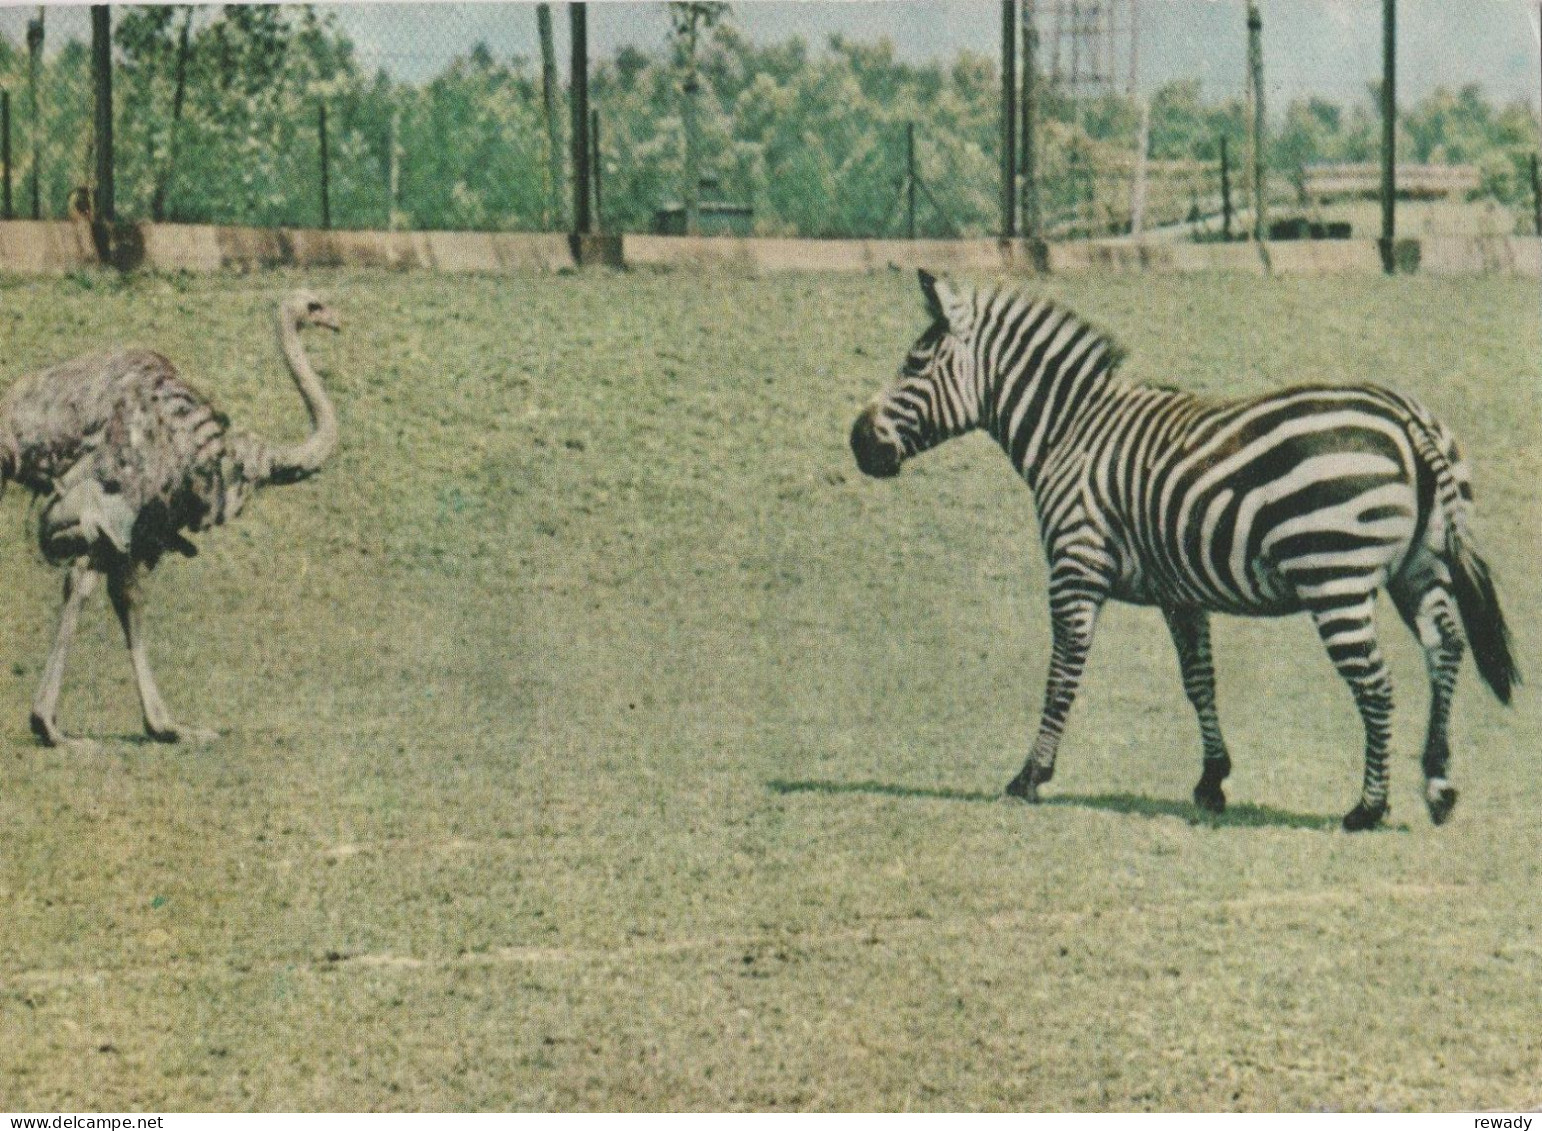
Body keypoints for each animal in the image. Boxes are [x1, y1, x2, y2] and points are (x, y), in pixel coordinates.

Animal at [857, 268, 1517, 827]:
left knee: (1377, 684)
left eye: (914, 364)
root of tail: (1406, 418)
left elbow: (1063, 672)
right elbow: (1199, 679)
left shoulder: (1076, 567)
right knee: (1445, 650)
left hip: (1336, 577)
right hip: (1419, 568)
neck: (1068, 430)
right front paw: (1212, 780)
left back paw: (1367, 808)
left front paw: (1031, 775)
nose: (857, 441)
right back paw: (1438, 785)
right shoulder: (1180, 590)